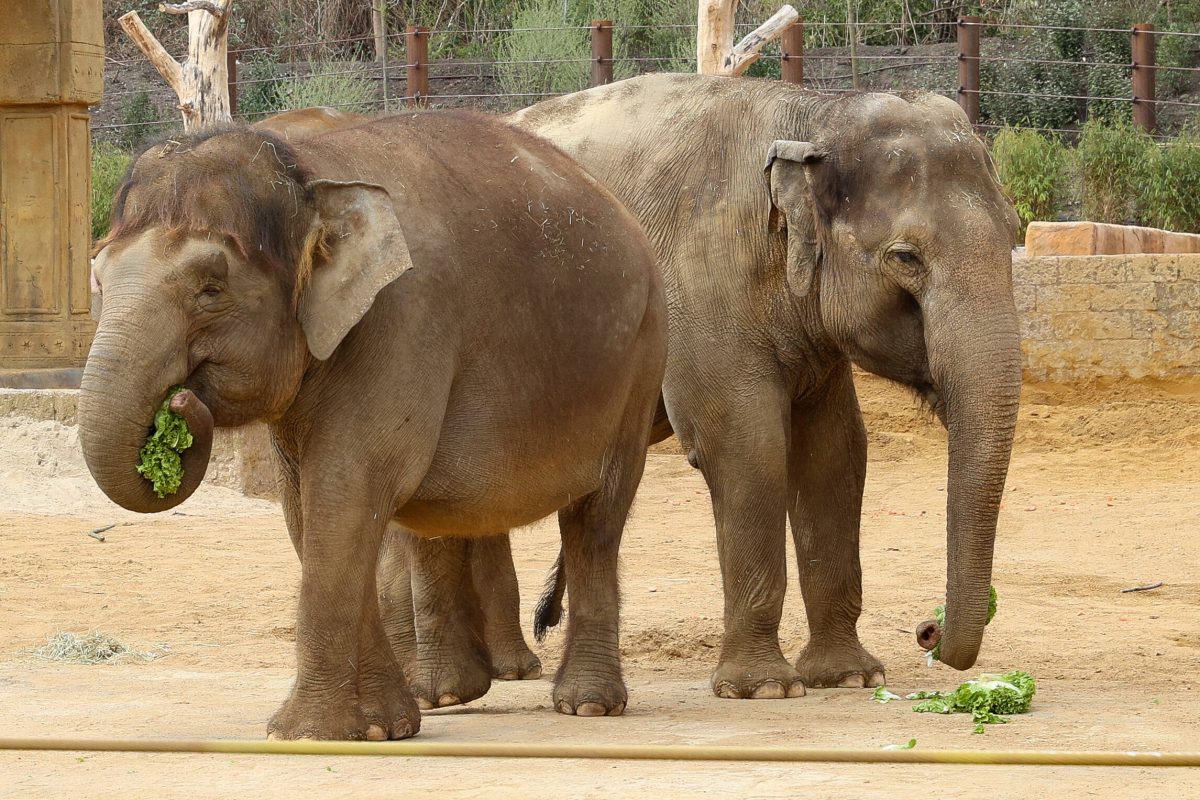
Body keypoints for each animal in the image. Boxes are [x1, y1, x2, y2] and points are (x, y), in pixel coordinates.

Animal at [79, 110, 672, 738]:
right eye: (100, 279)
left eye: (211, 289)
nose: (178, 404)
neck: (308, 174)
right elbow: (310, 510)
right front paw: (383, 727)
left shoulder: (403, 320)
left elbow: (346, 492)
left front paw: (300, 733)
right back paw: (451, 694)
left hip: (641, 359)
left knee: (597, 519)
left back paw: (586, 705)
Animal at [384, 71, 1022, 705]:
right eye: (906, 258)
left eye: (1015, 234)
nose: (927, 629)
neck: (811, 113)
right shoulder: (697, 281)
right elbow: (746, 446)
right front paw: (764, 689)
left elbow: (835, 454)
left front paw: (849, 677)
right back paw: (435, 690)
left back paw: (504, 672)